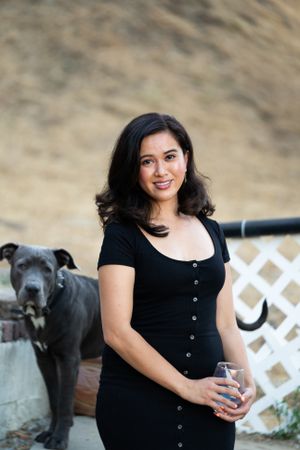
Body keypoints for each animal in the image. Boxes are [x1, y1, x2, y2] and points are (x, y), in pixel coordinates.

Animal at [0, 244, 105, 450]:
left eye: (48, 269)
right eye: (22, 265)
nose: (33, 288)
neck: (49, 307)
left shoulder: (69, 360)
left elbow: (64, 402)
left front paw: (59, 438)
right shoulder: (44, 360)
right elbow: (54, 399)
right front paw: (50, 432)